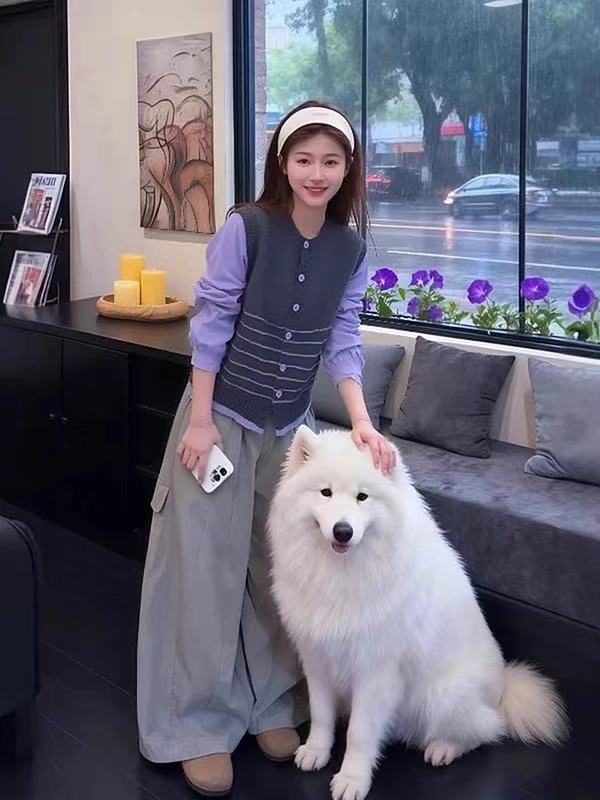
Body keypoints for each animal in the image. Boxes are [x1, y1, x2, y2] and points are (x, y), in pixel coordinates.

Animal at [267, 426, 567, 800]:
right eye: (326, 492)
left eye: (362, 497)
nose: (342, 531)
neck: (342, 574)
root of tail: (502, 688)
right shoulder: (318, 658)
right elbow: (321, 715)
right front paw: (316, 751)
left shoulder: (377, 672)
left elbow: (359, 733)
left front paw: (352, 780)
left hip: (443, 696)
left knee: (486, 730)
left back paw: (444, 748)